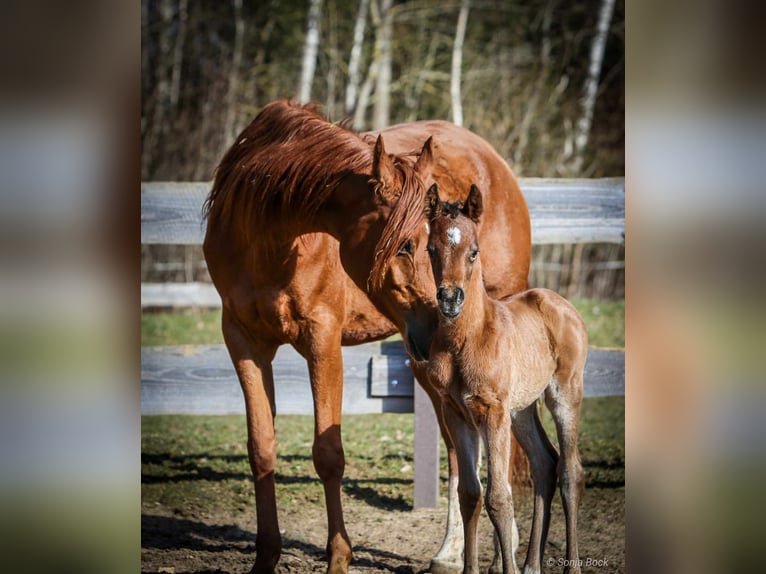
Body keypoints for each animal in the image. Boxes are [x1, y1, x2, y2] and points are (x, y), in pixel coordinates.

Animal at [201, 101, 532, 574]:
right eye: (409, 245)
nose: (440, 321)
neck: (267, 236)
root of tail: (493, 161)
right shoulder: (243, 343)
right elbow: (261, 448)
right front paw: (266, 557)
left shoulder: (322, 340)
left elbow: (328, 454)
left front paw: (339, 557)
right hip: (429, 368)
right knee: (457, 448)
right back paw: (448, 552)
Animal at [426, 183, 588, 574]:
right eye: (431, 249)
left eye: (474, 251)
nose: (450, 299)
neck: (466, 339)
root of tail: (559, 302)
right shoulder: (457, 413)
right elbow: (470, 494)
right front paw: (470, 569)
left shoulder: (492, 412)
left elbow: (499, 497)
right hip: (522, 409)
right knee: (545, 463)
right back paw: (531, 566)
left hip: (563, 393)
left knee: (570, 471)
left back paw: (570, 566)